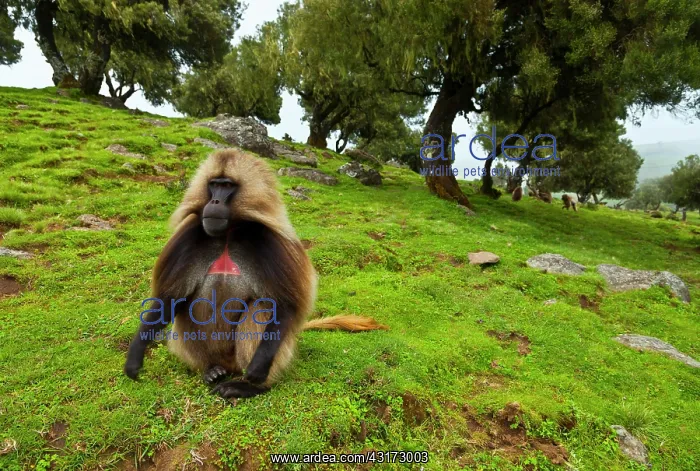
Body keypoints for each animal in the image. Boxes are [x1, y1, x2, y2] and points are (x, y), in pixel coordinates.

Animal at [124, 149, 387, 399]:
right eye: (214, 184)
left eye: (227, 186)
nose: (215, 202)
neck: (228, 233)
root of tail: (228, 365)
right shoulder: (189, 237)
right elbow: (170, 299)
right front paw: (135, 357)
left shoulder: (268, 242)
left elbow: (285, 304)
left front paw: (257, 373)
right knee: (185, 308)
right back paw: (210, 371)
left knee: (260, 308)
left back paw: (247, 387)